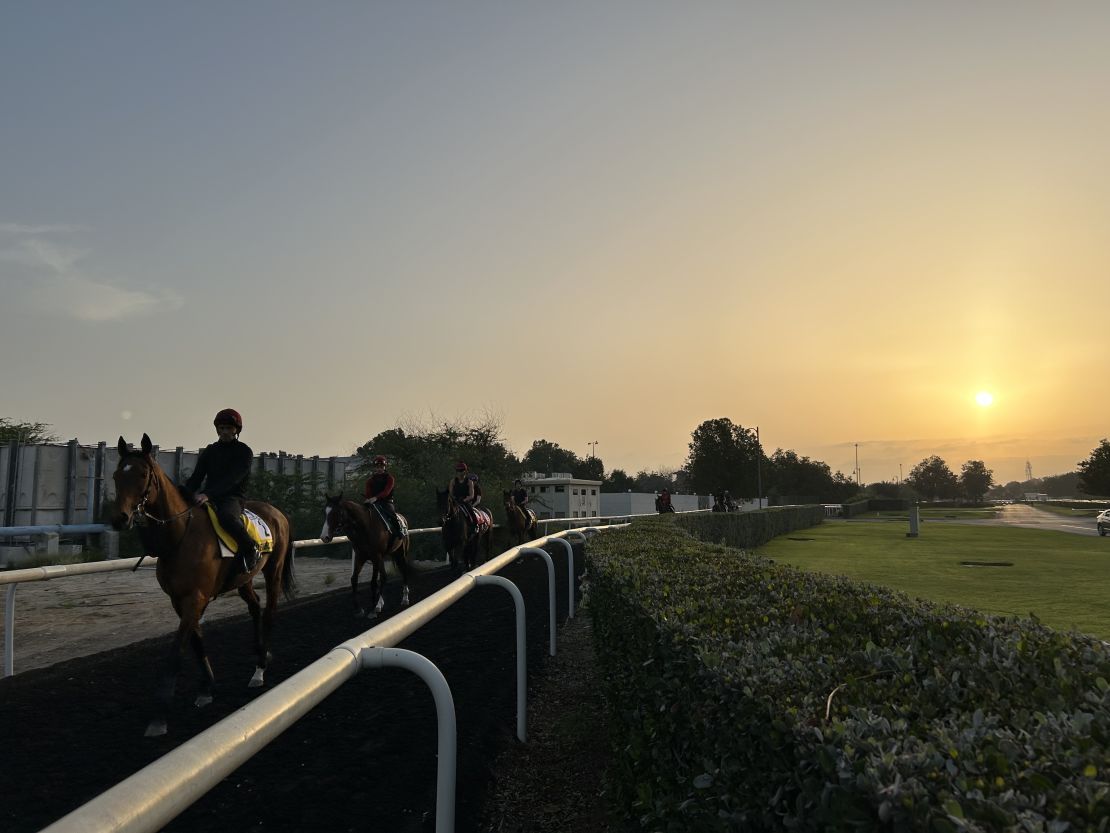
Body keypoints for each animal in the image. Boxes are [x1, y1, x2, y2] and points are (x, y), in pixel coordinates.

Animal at [110, 433, 295, 741]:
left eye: (142, 474)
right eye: (116, 475)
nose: (120, 518)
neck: (180, 536)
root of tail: (277, 513)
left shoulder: (195, 598)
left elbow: (176, 652)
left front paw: (159, 718)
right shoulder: (180, 600)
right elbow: (196, 642)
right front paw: (207, 689)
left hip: (274, 571)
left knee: (269, 612)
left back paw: (259, 670)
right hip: (244, 579)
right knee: (255, 607)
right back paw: (259, 652)